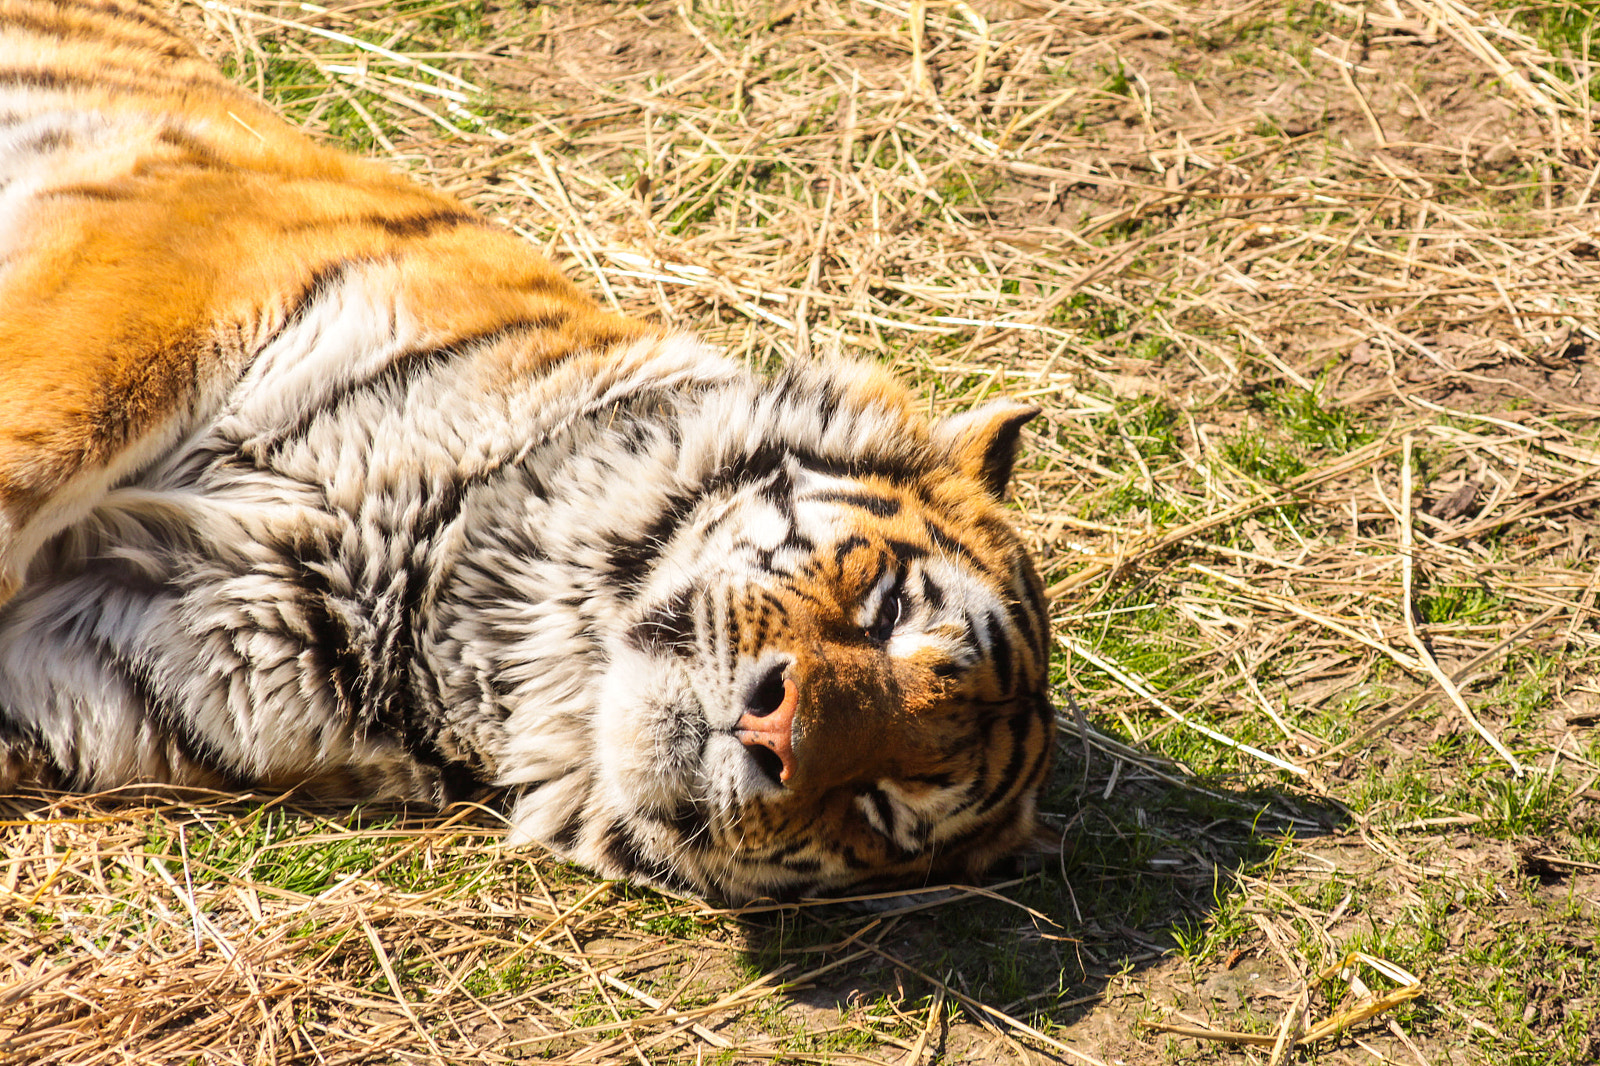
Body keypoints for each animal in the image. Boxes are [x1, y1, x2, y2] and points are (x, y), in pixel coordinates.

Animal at [0, 0, 1056, 902]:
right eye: (889, 610)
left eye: (883, 808)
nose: (777, 729)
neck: (427, 595)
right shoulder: (174, 259)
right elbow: (32, 458)